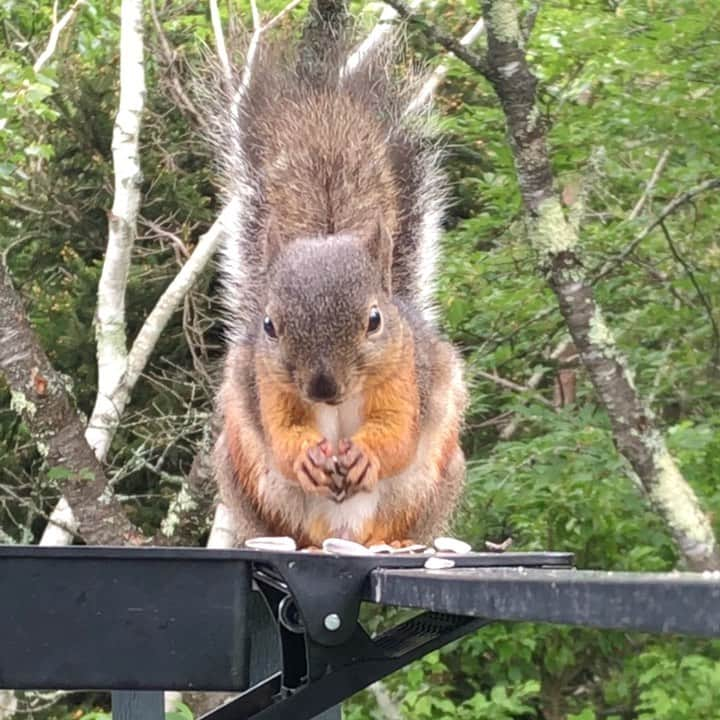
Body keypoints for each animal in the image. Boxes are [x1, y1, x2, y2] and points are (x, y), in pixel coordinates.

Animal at [208, 33, 466, 544]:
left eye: (374, 320)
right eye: (269, 325)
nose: (322, 386)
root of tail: (343, 536)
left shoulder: (408, 375)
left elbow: (397, 434)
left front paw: (367, 455)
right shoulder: (267, 383)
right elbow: (283, 435)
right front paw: (305, 457)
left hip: (438, 481)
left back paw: (397, 542)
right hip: (240, 477)